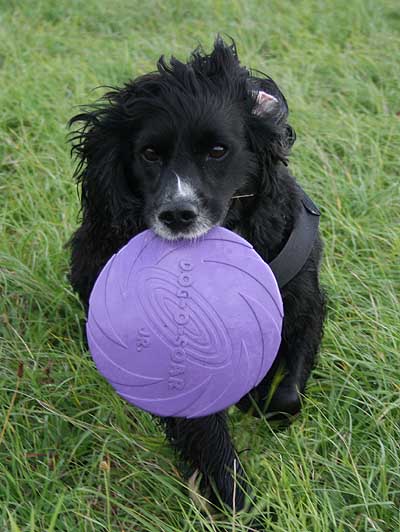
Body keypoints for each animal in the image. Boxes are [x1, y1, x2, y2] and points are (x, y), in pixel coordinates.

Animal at [69, 38, 324, 512]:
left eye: (218, 151)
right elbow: (211, 443)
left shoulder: (303, 299)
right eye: (149, 154)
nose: (177, 214)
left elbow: (286, 397)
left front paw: (257, 399)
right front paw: (238, 506)